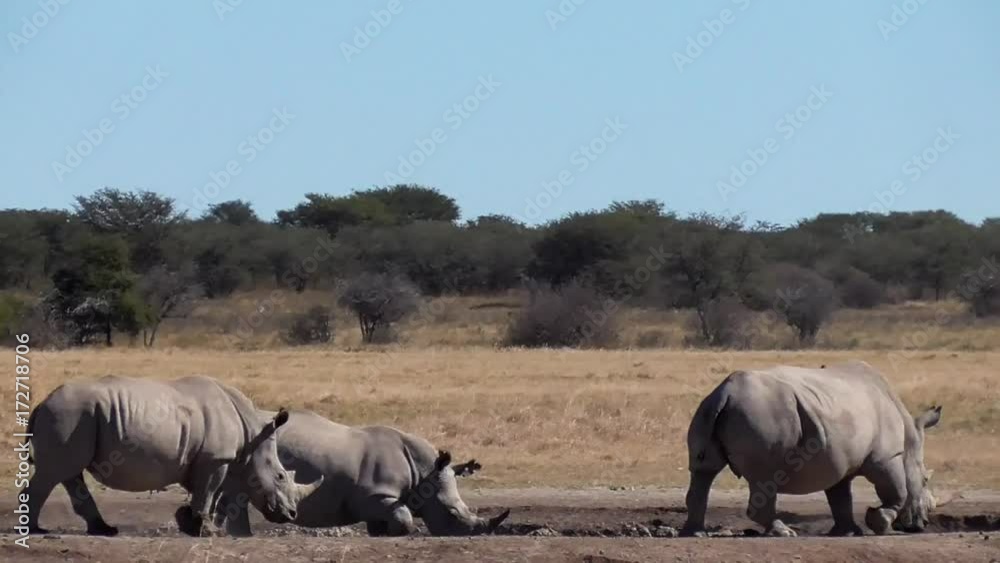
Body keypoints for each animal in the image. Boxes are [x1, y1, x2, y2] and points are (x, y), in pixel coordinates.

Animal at [23, 376, 320, 536]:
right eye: (280, 476)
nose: (291, 514)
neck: (252, 433)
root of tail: (42, 403)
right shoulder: (216, 458)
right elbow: (208, 492)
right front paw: (208, 532)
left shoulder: (210, 460)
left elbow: (208, 493)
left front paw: (189, 523)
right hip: (69, 415)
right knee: (54, 473)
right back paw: (35, 530)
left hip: (75, 417)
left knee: (69, 473)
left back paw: (104, 529)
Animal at [211, 410, 508, 536]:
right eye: (451, 513)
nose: (477, 534)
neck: (423, 473)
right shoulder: (373, 495)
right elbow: (404, 515)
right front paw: (400, 532)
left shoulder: (378, 500)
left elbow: (390, 516)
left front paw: (381, 532)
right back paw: (241, 536)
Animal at [684, 362, 940, 536]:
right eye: (925, 480)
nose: (922, 525)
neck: (910, 440)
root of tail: (725, 392)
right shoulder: (886, 456)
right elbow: (898, 491)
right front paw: (879, 522)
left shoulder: (841, 460)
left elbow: (840, 498)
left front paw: (848, 532)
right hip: (763, 414)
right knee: (765, 476)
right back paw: (784, 532)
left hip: (708, 409)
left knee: (704, 470)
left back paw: (695, 532)